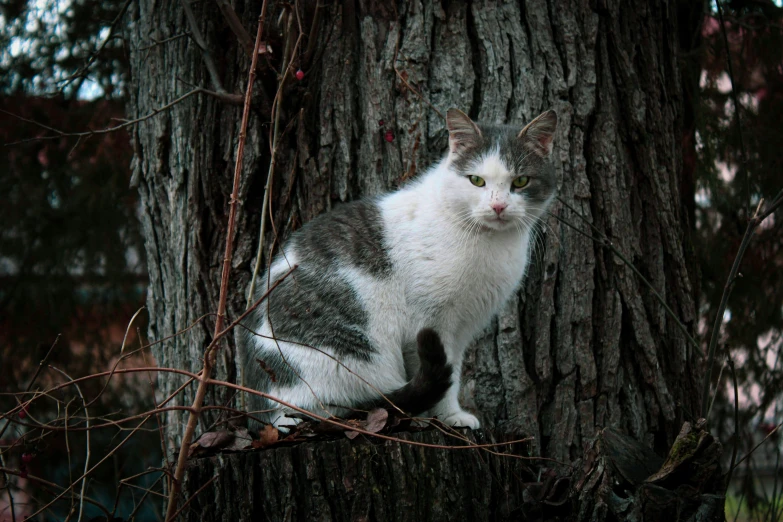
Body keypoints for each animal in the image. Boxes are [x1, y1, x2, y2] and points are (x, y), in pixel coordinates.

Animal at [243, 107, 556, 428]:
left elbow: (453, 371)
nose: (498, 207)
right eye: (476, 181)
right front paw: (440, 417)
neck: (488, 243)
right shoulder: (429, 321)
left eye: (521, 181)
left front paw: (451, 416)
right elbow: (438, 375)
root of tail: (263, 412)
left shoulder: (463, 327)